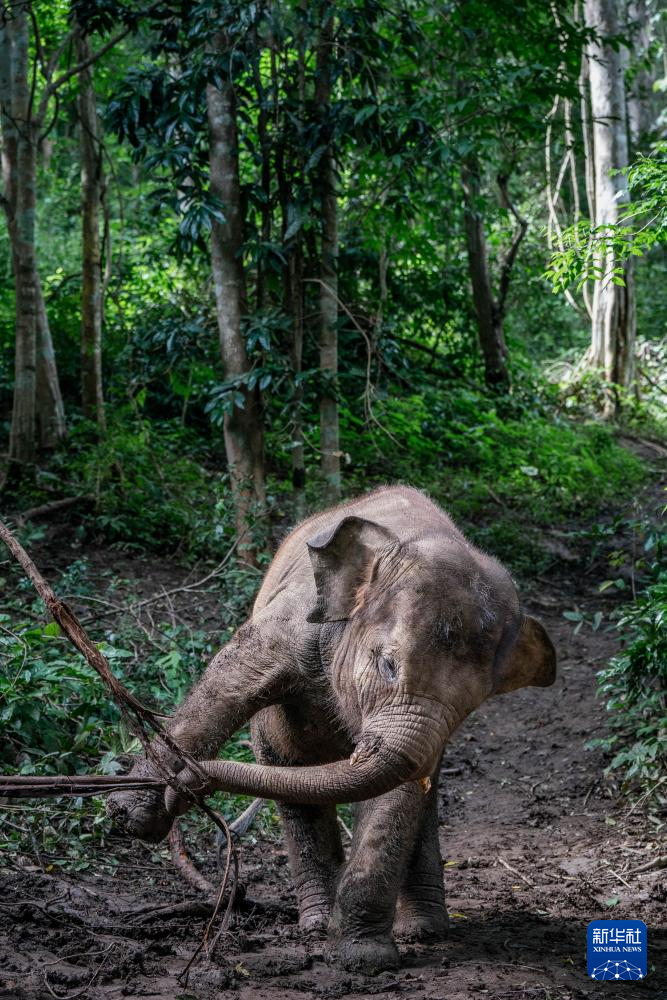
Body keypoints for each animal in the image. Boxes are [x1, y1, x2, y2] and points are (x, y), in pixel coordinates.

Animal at [109, 488, 556, 972]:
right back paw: (317, 924)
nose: (187, 787)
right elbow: (228, 681)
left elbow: (396, 796)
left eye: (467, 709)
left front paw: (361, 959)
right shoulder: (292, 620)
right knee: (290, 777)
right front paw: (131, 817)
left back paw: (422, 931)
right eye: (388, 664)